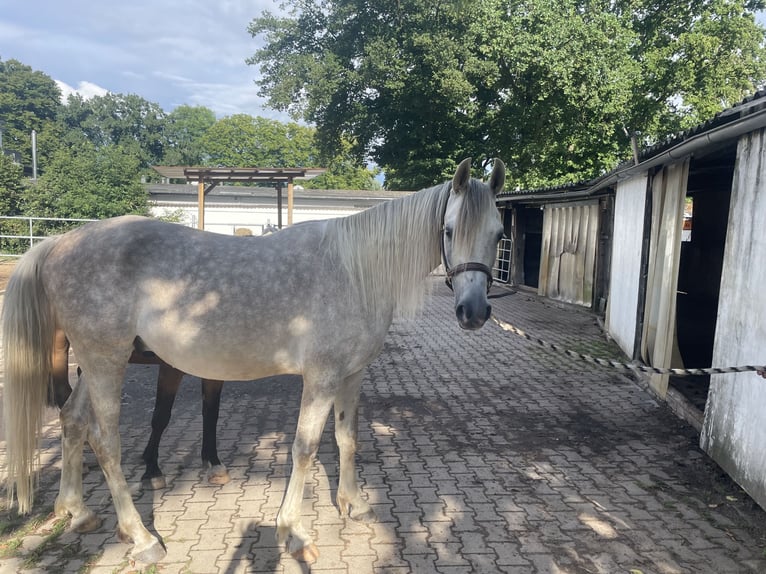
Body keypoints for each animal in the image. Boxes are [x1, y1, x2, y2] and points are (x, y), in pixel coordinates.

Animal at [49, 333, 229, 488]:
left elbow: (211, 413)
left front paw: (213, 463)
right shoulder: (170, 366)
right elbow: (161, 416)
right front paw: (152, 471)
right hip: (57, 346)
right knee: (63, 393)